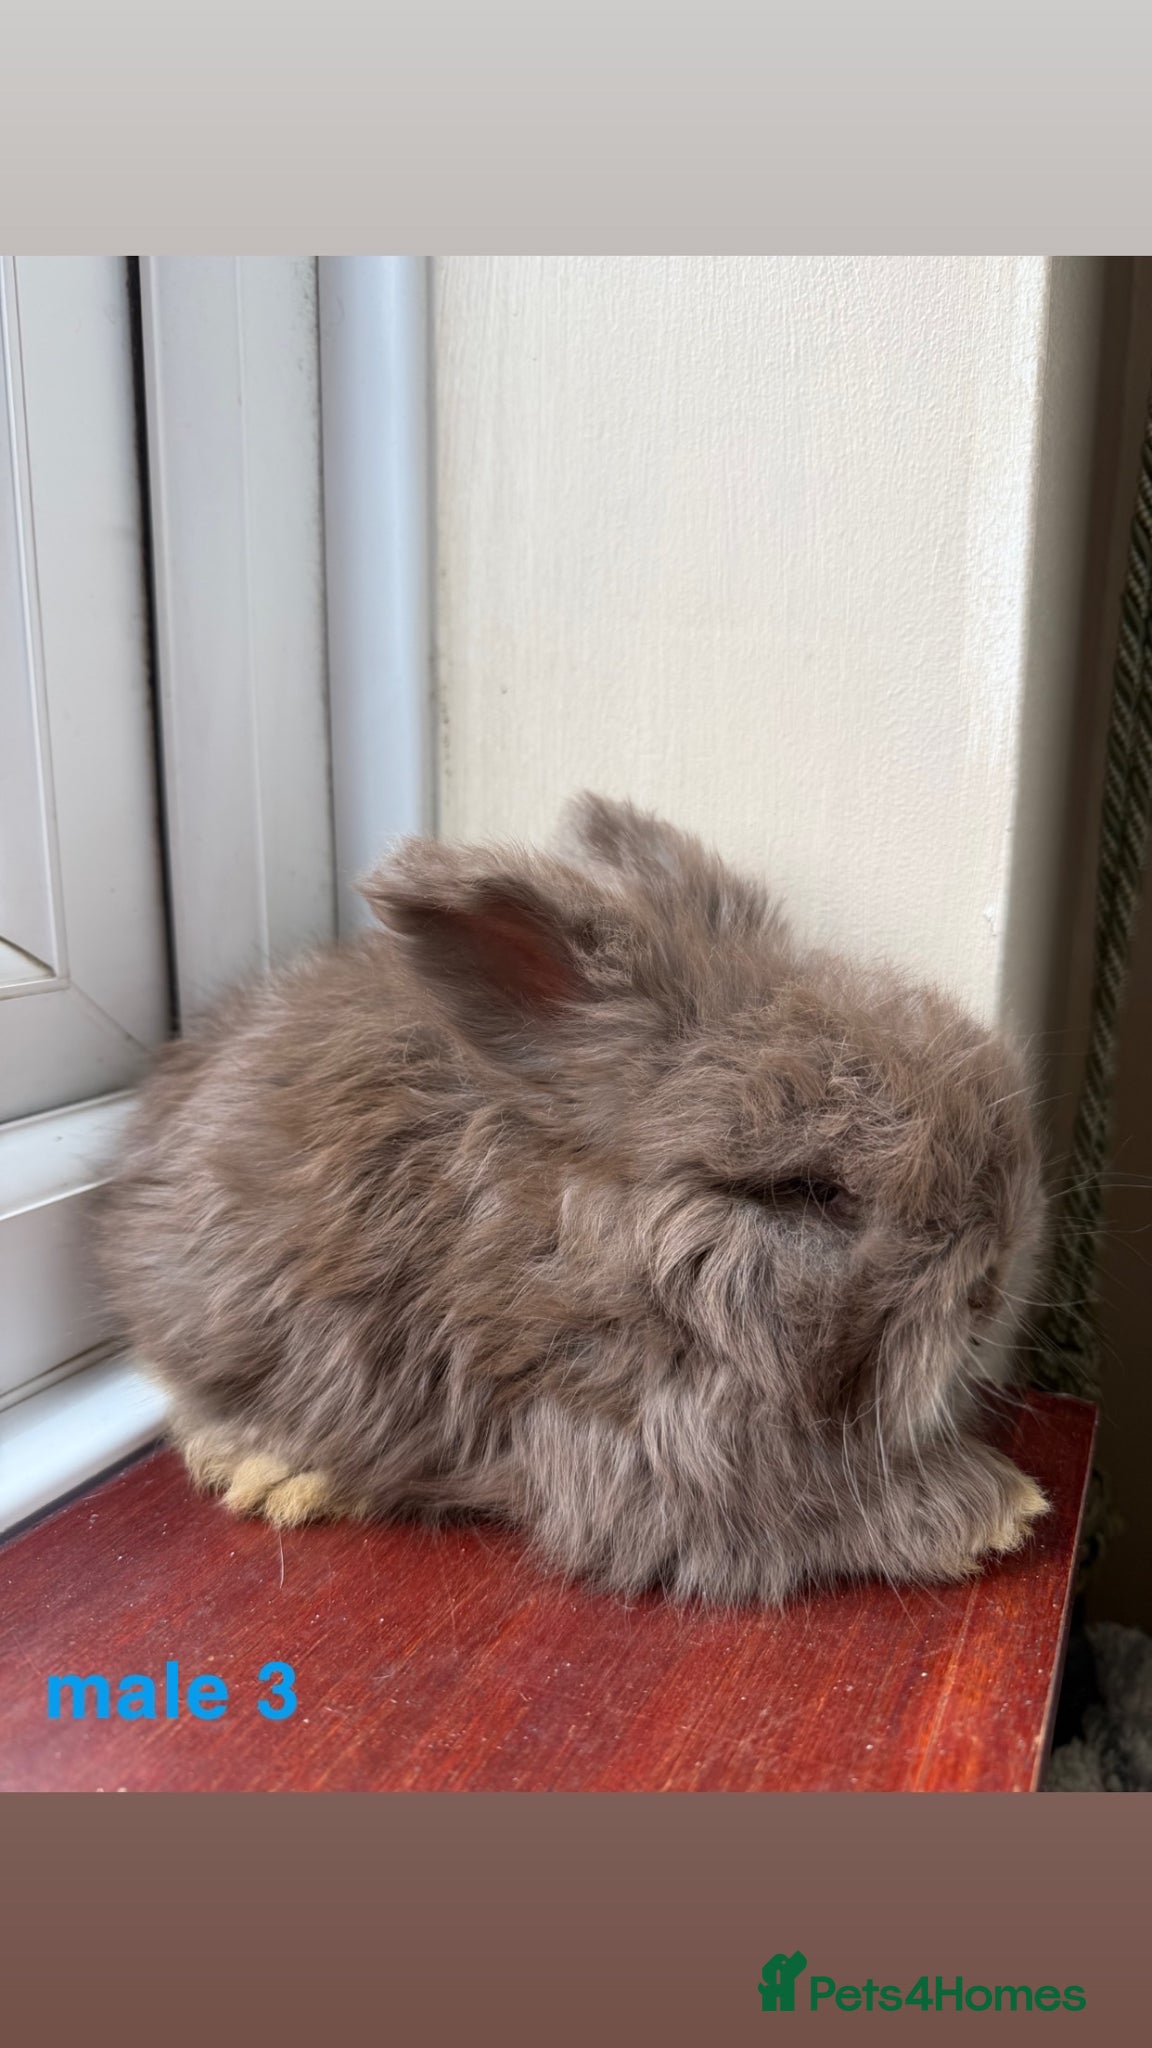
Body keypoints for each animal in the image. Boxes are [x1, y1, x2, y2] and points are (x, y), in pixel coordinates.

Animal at [95, 793, 1048, 1605]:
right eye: (806, 1191)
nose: (989, 1291)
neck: (614, 1251)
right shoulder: (629, 1451)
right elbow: (808, 1507)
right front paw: (1001, 1511)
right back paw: (277, 1475)